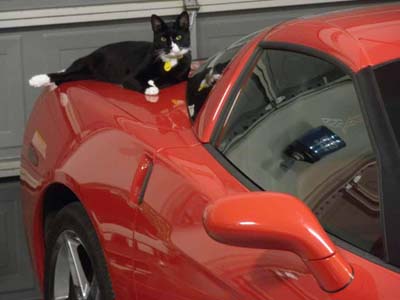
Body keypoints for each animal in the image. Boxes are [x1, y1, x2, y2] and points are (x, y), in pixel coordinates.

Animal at [28, 11, 191, 95]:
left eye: (178, 37)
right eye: (163, 38)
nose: (171, 48)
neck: (168, 61)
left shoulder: (180, 77)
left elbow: (167, 81)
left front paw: (153, 83)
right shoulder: (130, 78)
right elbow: (137, 81)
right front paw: (151, 88)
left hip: (84, 74)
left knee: (66, 77)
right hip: (84, 64)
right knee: (61, 74)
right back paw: (36, 79)